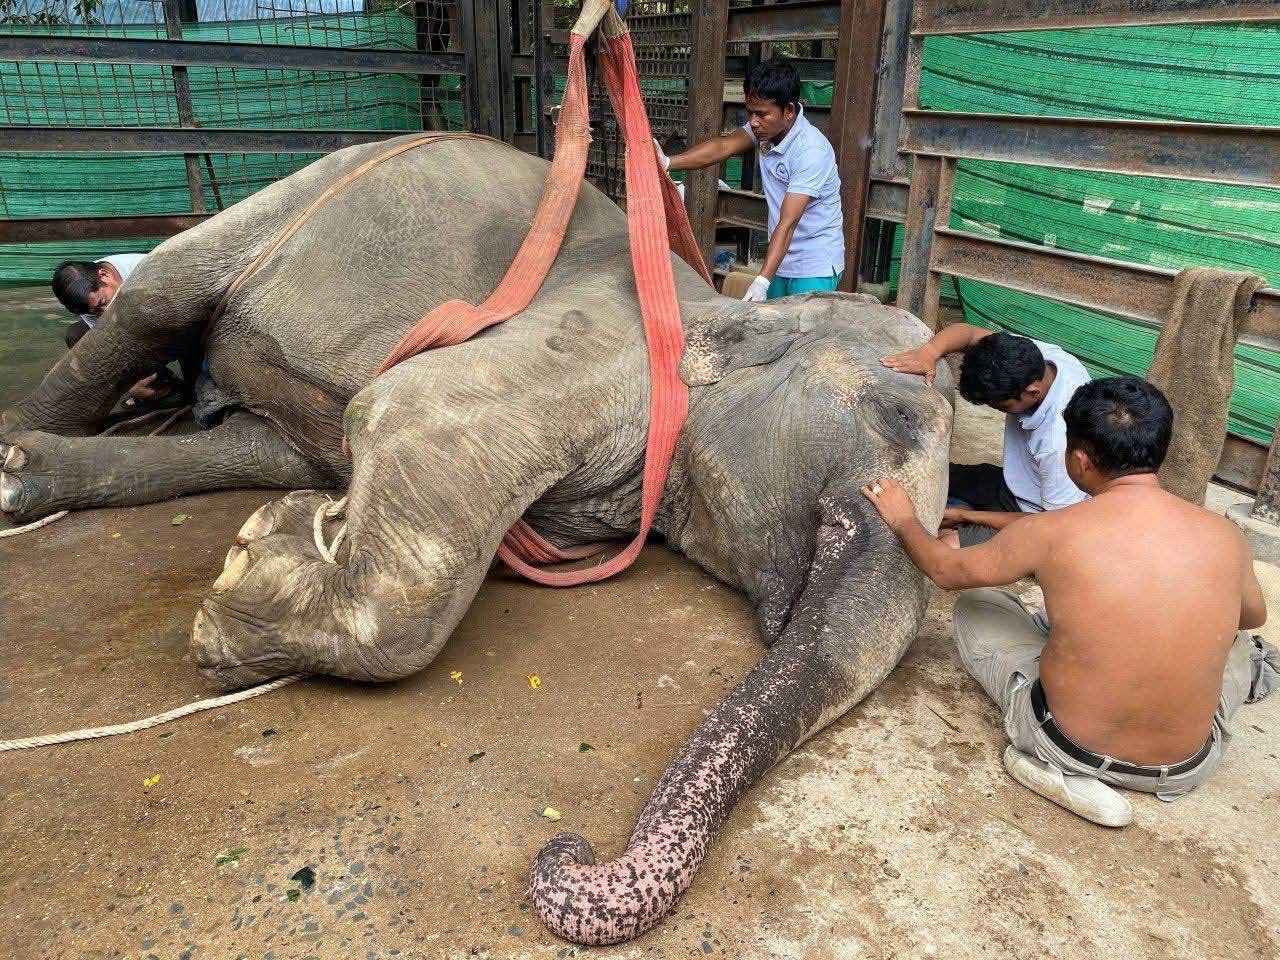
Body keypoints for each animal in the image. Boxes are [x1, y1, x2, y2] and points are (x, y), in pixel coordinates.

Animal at [0, 134, 953, 945]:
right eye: (899, 414)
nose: (569, 845)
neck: (703, 306)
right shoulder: (593, 347)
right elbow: (406, 412)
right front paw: (241, 585)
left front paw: (271, 547)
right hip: (287, 201)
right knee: (156, 298)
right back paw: (16, 457)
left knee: (254, 442)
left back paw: (45, 472)